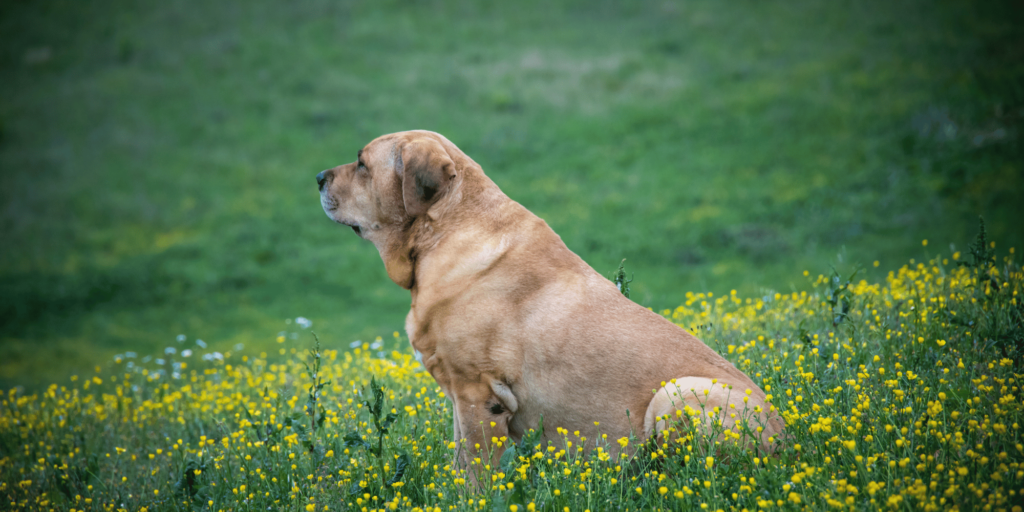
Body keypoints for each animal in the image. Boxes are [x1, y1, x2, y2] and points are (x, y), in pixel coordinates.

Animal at [315, 130, 786, 473]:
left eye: (362, 164)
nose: (318, 177)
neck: (442, 232)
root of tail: (787, 443)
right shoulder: (460, 397)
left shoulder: (477, 392)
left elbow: (475, 470)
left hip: (675, 393)